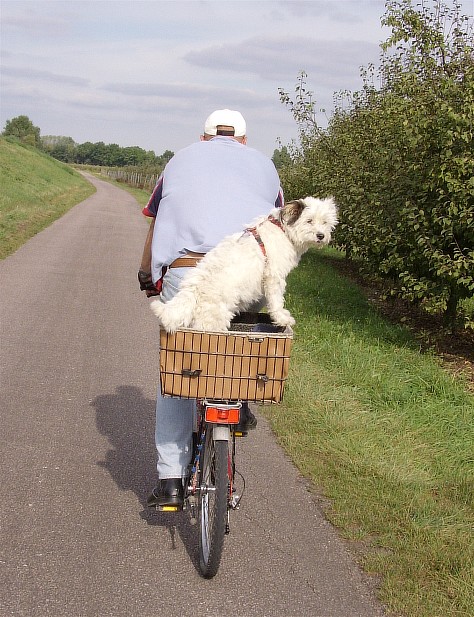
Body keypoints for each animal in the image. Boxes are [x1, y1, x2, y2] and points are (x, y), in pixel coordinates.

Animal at [151, 197, 336, 332]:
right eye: (309, 221)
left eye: (325, 222)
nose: (321, 236)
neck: (282, 230)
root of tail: (192, 289)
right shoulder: (273, 277)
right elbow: (276, 301)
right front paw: (283, 318)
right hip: (213, 320)